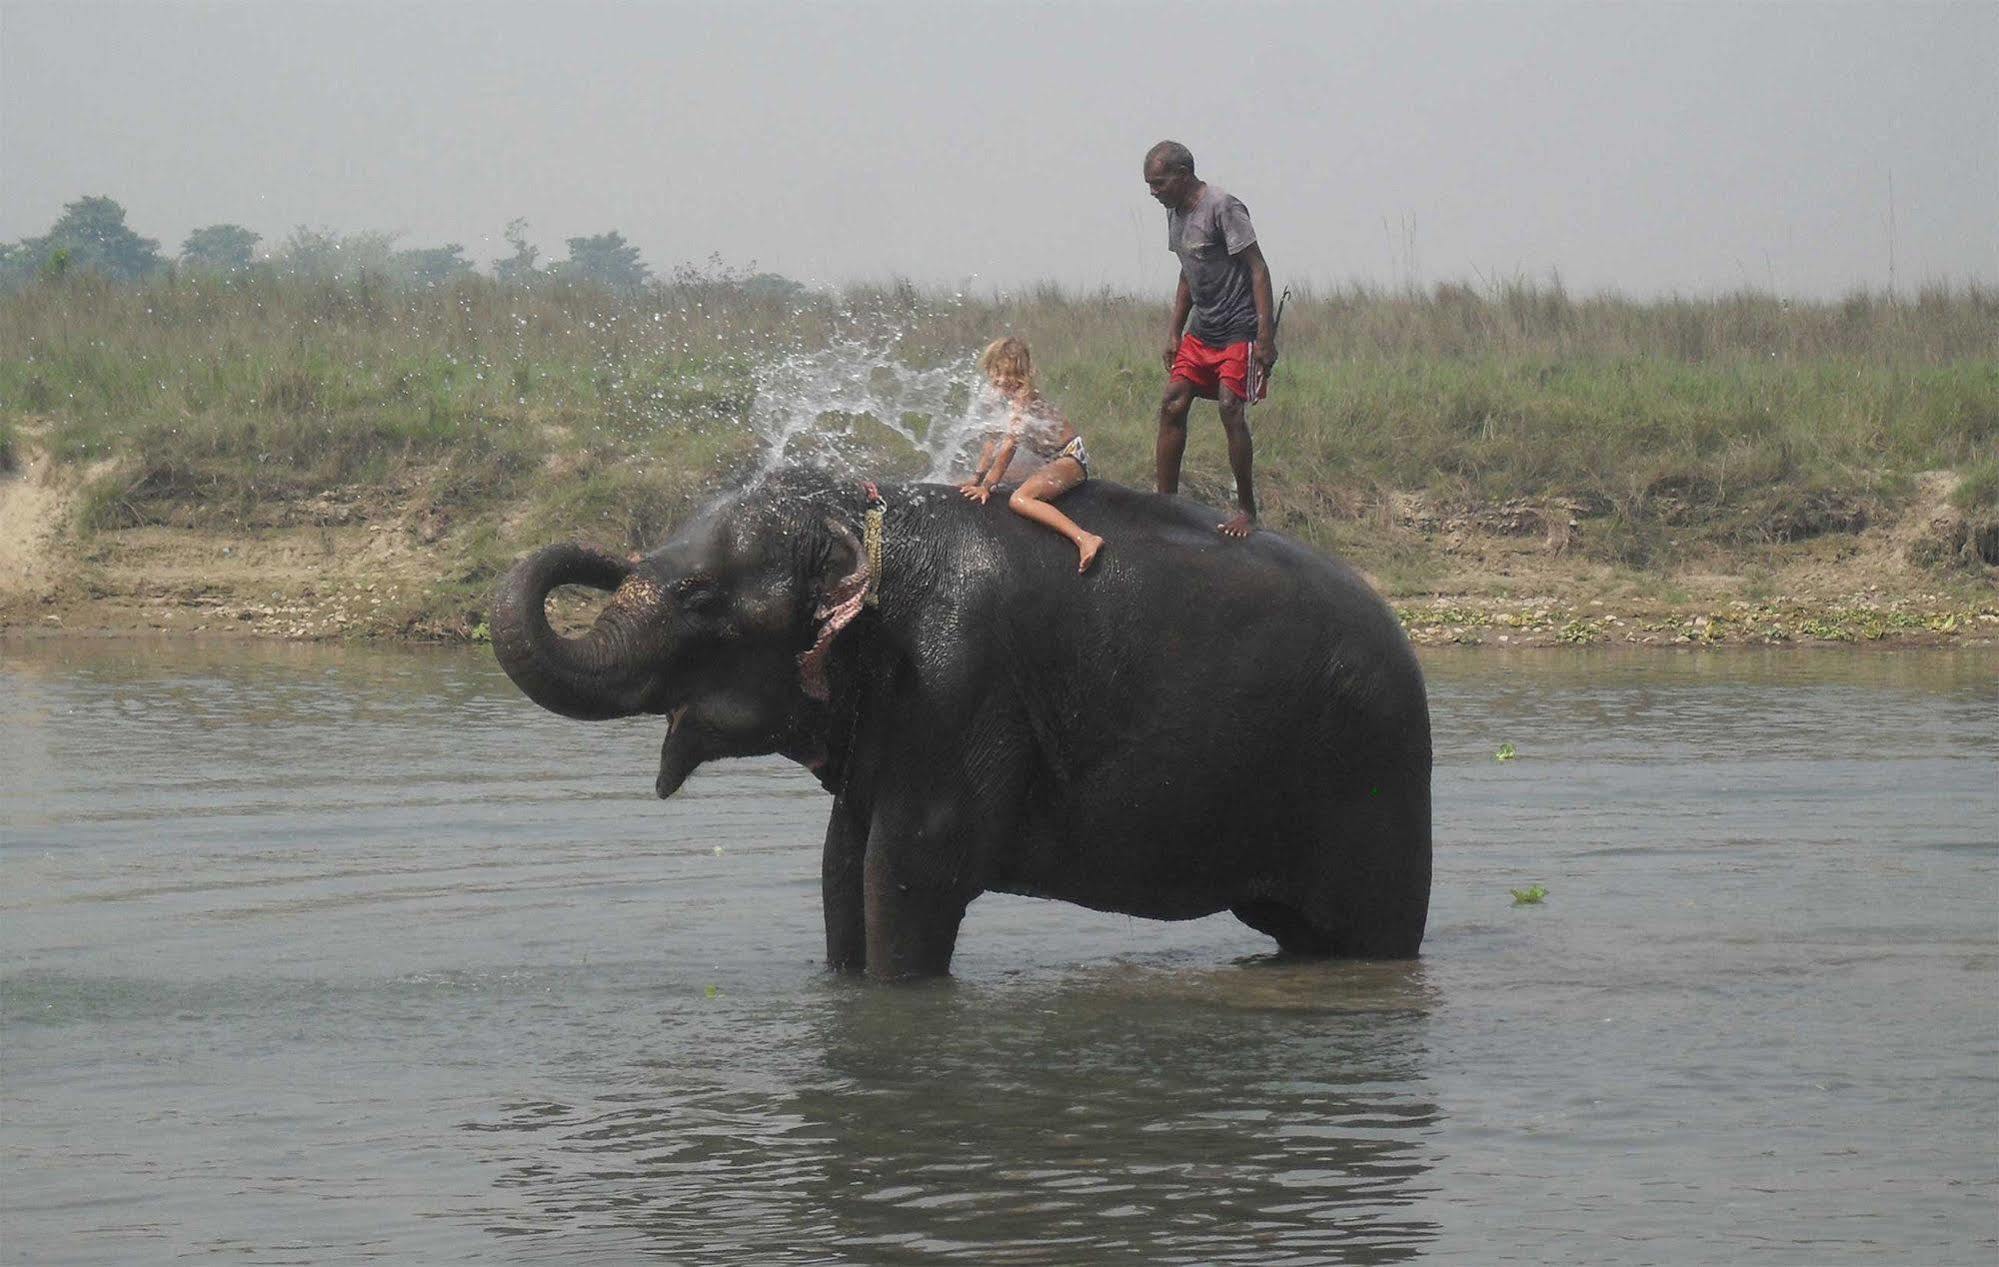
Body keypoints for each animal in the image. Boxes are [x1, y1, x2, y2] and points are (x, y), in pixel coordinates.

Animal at [499, 473, 1439, 975]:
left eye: (698, 596)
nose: (602, 550)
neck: (862, 512)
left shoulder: (958, 687)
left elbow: (912, 869)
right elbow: (841, 866)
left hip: (1372, 783)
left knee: (1369, 937)